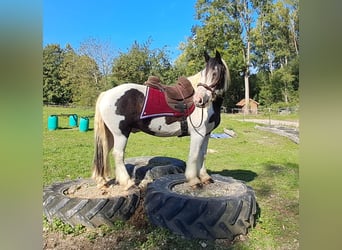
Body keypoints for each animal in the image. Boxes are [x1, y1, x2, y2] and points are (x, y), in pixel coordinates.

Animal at [91, 49, 230, 188]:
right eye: (203, 74)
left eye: (215, 73)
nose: (199, 100)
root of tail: (106, 93)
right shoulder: (198, 134)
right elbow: (195, 155)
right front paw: (194, 180)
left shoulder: (206, 134)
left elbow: (203, 154)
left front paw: (205, 177)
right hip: (121, 133)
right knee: (118, 154)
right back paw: (127, 182)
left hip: (110, 134)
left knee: (104, 151)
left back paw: (102, 181)